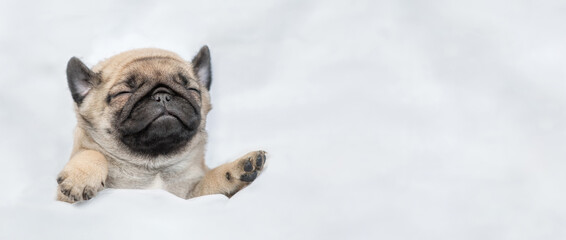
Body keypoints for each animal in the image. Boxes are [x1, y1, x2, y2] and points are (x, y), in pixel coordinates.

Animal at [56, 46, 268, 202]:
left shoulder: (192, 195)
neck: (154, 166)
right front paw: (81, 177)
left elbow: (211, 181)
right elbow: (92, 153)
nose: (162, 95)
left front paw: (236, 169)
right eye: (123, 93)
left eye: (192, 90)